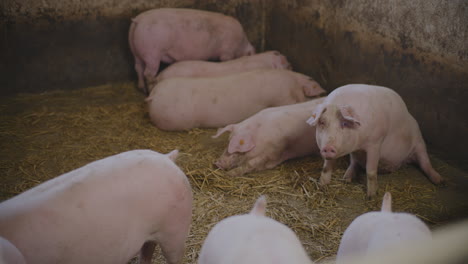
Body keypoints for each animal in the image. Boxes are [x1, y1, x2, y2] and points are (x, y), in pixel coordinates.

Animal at [128, 8, 256, 94]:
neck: (241, 43)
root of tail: (138, 20)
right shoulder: (227, 52)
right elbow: (225, 60)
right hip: (152, 53)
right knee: (148, 73)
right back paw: (150, 90)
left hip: (136, 52)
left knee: (138, 68)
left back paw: (142, 89)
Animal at [308, 83, 442, 197]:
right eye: (322, 122)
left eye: (344, 123)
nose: (328, 148)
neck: (360, 145)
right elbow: (327, 167)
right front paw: (322, 185)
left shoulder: (376, 142)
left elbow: (371, 171)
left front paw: (371, 196)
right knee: (354, 163)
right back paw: (346, 179)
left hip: (419, 142)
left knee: (425, 162)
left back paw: (440, 181)